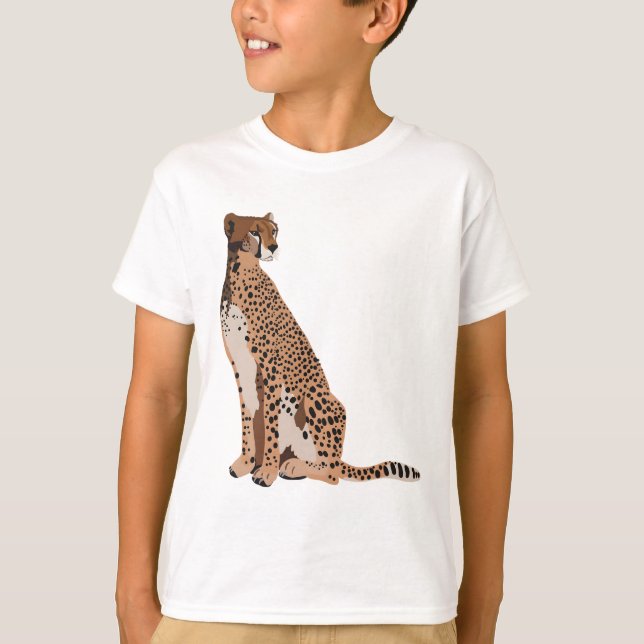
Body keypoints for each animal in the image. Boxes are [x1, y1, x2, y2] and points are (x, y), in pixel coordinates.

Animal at [220, 211, 421, 487]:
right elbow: (249, 417)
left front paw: (267, 471)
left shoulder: (271, 369)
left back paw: (293, 466)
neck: (240, 275)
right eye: (254, 231)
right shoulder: (241, 364)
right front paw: (246, 463)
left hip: (317, 397)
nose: (274, 246)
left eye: (274, 230)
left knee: (331, 473)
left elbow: (269, 424)